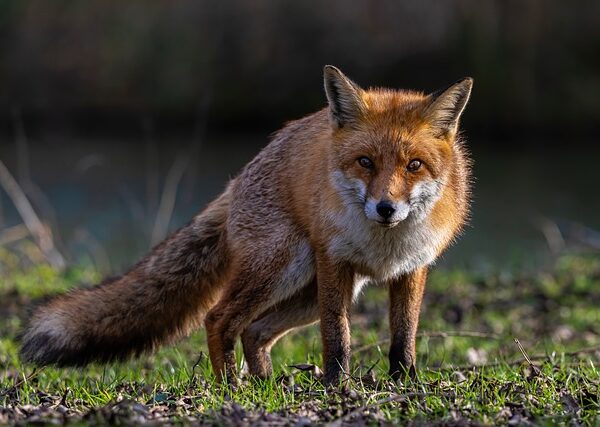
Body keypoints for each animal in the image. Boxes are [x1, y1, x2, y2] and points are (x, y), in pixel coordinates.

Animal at [19, 66, 474, 388]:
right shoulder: (334, 262)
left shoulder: (412, 268)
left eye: (414, 165)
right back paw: (230, 386)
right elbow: (337, 336)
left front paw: (405, 383)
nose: (385, 208)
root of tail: (237, 179)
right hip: (285, 269)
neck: (384, 245)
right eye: (365, 162)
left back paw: (266, 384)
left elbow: (403, 336)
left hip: (308, 291)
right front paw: (337, 385)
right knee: (219, 319)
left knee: (255, 330)